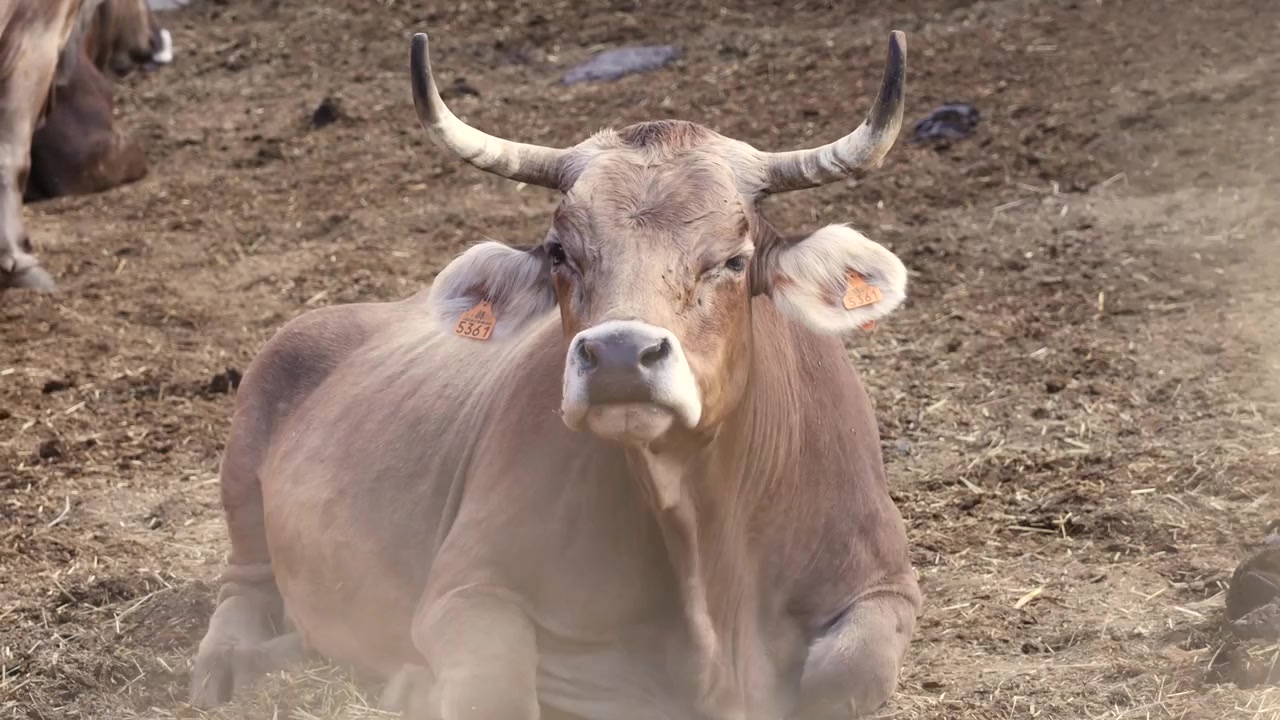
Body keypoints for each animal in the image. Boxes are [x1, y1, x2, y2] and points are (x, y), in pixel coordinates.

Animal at [189, 29, 921, 720]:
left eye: (733, 259)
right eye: (561, 251)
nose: (622, 355)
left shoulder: (883, 585)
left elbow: (843, 675)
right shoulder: (467, 587)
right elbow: (496, 695)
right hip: (244, 476)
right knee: (242, 589)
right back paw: (229, 665)